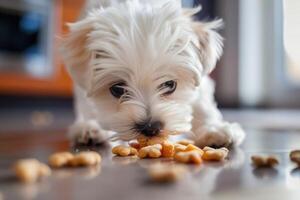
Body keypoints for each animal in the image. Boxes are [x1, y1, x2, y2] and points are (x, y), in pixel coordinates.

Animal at [61, 0, 244, 147]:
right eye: (117, 89)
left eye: (170, 85)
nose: (150, 127)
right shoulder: (83, 87)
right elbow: (89, 106)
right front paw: (92, 127)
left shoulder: (201, 82)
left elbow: (202, 105)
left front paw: (215, 130)